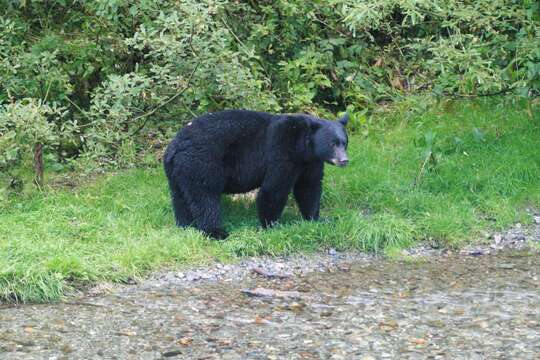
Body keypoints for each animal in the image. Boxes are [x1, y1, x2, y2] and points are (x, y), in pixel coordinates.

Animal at [163, 109, 350, 239]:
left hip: (177, 172)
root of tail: (175, 147)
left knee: (180, 197)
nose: (344, 160)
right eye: (333, 143)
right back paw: (217, 232)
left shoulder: (310, 162)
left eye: (344, 142)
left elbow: (309, 187)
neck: (302, 146)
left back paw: (185, 225)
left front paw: (316, 219)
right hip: (202, 163)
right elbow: (274, 189)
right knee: (205, 197)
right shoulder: (282, 153)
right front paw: (271, 224)